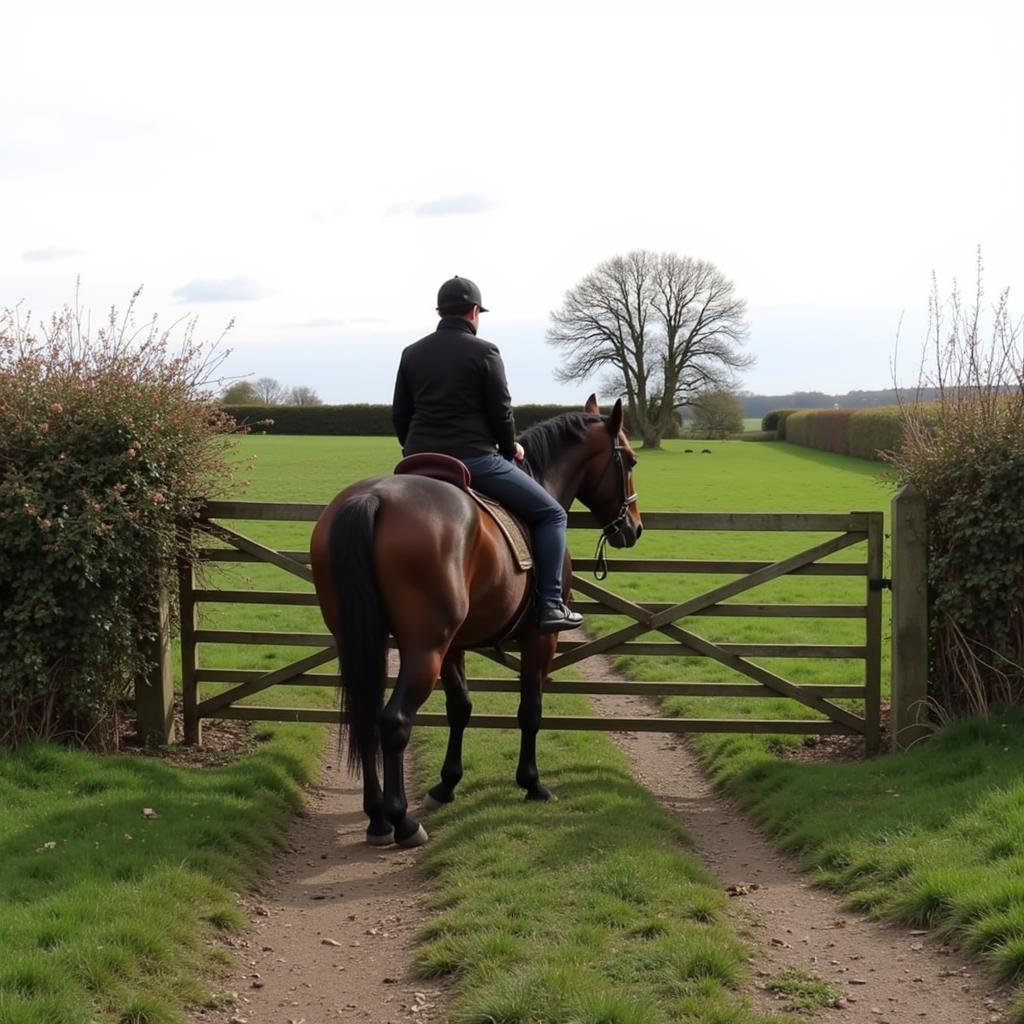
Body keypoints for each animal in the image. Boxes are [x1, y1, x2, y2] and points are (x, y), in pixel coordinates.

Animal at [311, 393, 643, 847]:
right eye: (630, 460)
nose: (635, 527)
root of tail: (374, 498)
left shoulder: (456, 645)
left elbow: (461, 708)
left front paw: (446, 784)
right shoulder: (540, 640)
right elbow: (530, 710)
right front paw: (532, 783)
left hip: (363, 639)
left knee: (367, 717)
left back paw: (377, 817)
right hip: (425, 648)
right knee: (394, 721)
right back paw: (401, 821)